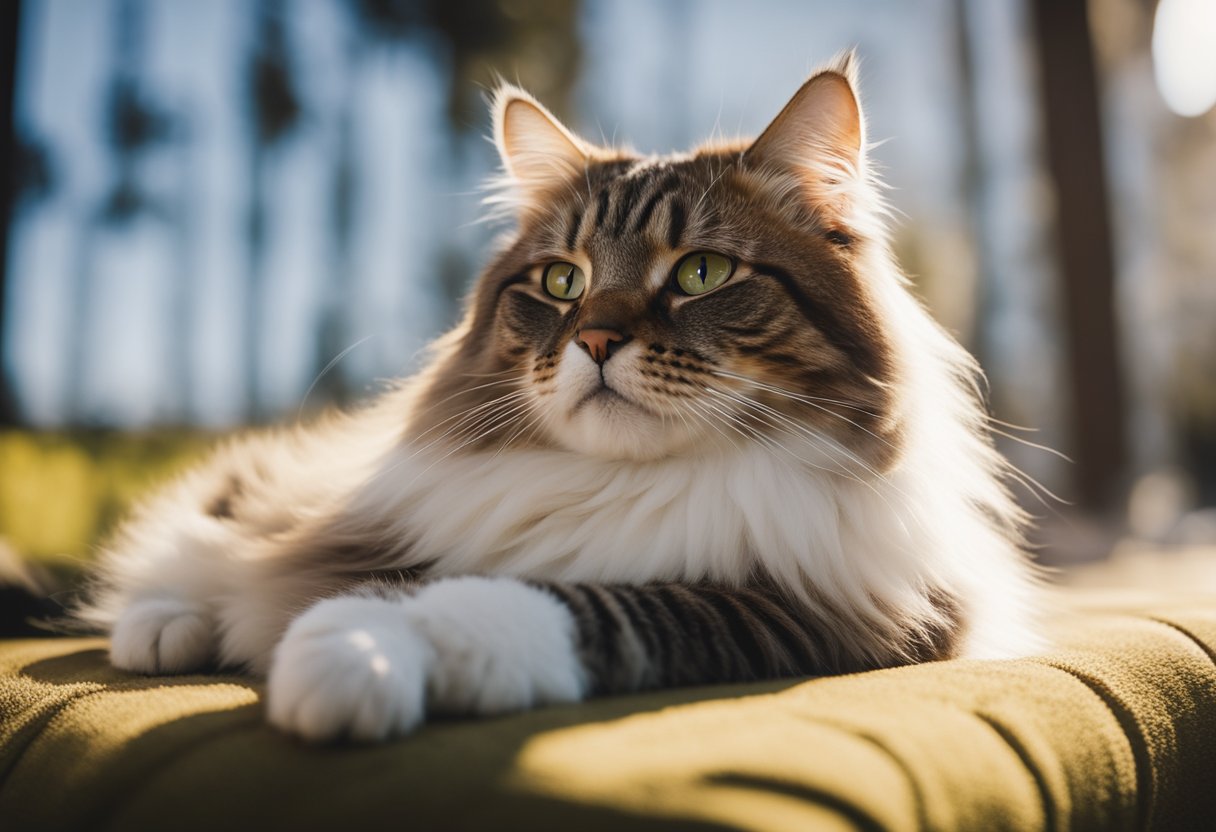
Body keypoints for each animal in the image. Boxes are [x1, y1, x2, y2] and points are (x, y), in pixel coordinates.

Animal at [78, 52, 1045, 739]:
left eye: (701, 273)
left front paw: (351, 654)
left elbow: (570, 602)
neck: (630, 488)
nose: (596, 341)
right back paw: (165, 625)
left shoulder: (823, 612)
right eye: (560, 281)